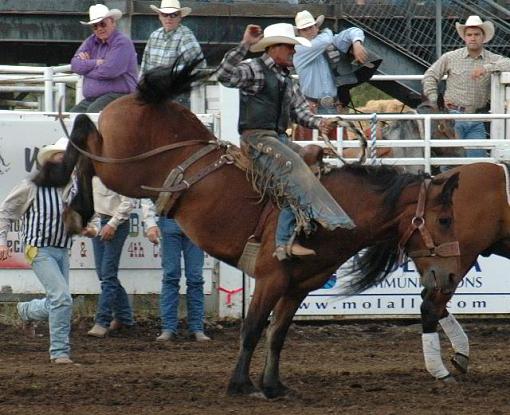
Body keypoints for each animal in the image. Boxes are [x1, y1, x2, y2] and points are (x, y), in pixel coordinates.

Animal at [35, 62, 462, 400]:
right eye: (444, 220)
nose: (449, 275)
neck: (340, 208)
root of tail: (145, 99)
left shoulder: (297, 287)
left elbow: (278, 334)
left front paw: (273, 385)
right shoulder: (270, 279)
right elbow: (253, 329)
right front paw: (240, 384)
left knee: (87, 141)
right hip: (122, 167)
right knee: (84, 135)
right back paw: (70, 198)